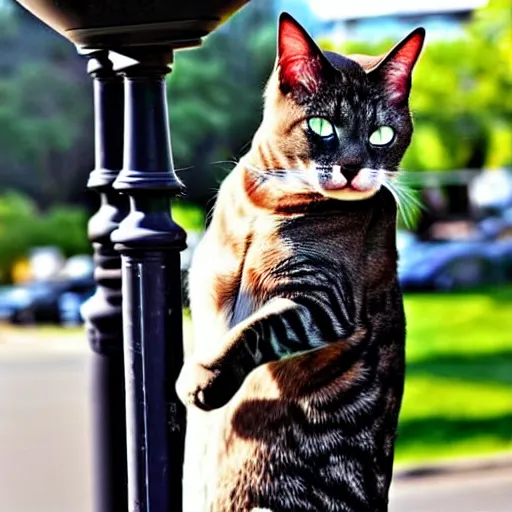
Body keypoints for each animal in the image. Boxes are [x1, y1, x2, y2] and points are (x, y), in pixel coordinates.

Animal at [176, 13, 424, 512]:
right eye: (322, 125)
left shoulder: (326, 305)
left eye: (381, 135)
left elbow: (257, 329)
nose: (352, 166)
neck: (264, 205)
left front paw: (206, 376)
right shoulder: (203, 282)